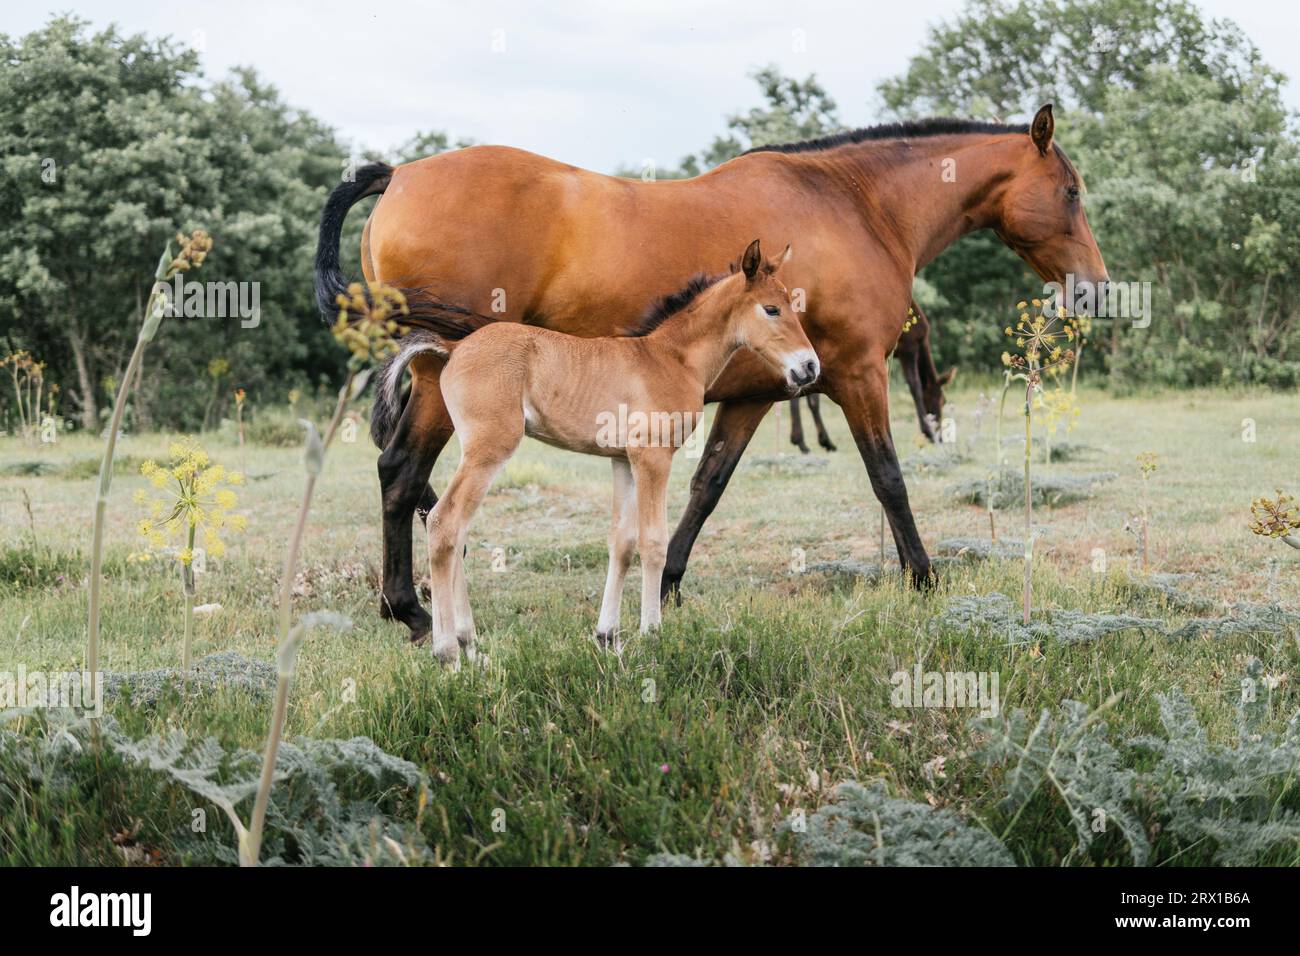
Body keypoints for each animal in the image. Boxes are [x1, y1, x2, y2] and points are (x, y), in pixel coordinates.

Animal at [384, 240, 811, 665]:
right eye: (772, 309)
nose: (809, 367)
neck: (671, 358)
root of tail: (453, 347)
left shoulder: (622, 459)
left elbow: (621, 543)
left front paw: (608, 636)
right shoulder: (653, 456)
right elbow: (652, 542)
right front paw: (652, 634)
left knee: (454, 528)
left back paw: (470, 645)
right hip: (490, 447)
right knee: (445, 522)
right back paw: (447, 653)